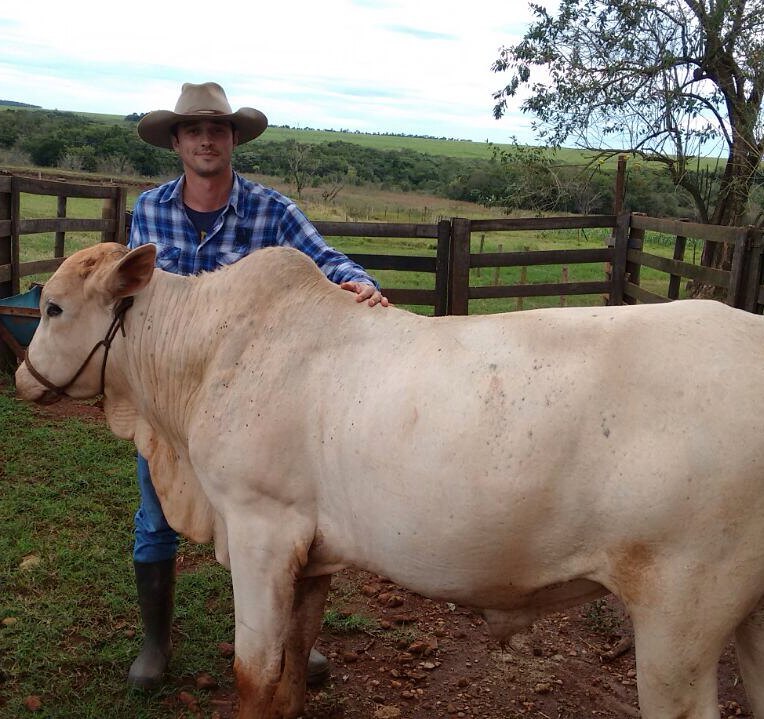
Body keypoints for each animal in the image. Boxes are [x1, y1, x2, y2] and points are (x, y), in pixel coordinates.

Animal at [13, 243, 764, 719]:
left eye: (53, 308)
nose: (21, 376)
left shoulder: (258, 529)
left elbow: (254, 675)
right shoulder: (310, 552)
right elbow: (293, 662)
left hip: (679, 618)